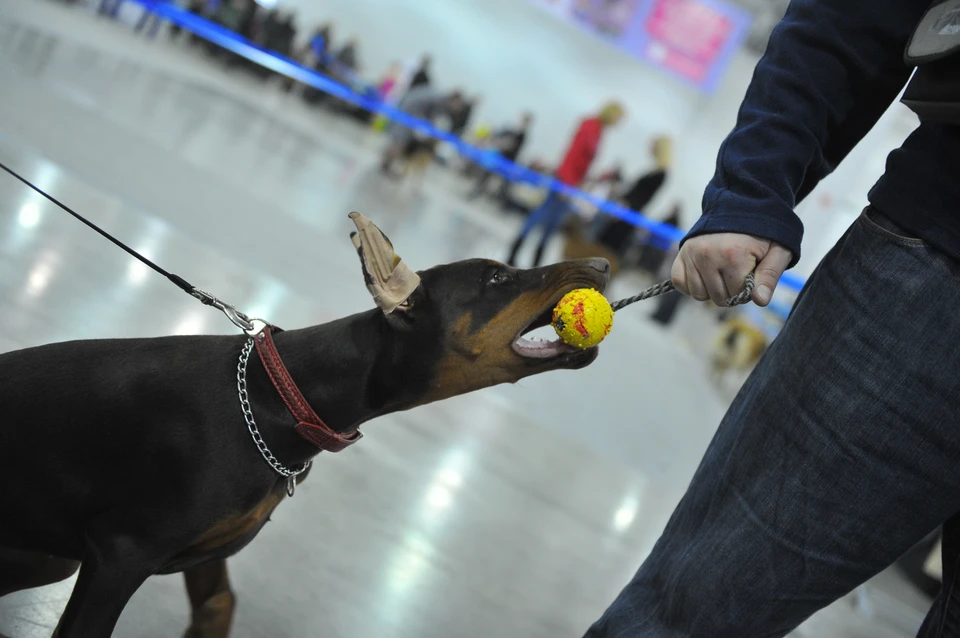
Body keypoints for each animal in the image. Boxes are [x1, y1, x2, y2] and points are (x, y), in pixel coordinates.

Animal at [0, 212, 612, 636]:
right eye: (497, 278)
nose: (604, 265)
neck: (279, 394)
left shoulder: (202, 551)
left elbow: (219, 603)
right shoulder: (120, 553)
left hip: (43, 556)